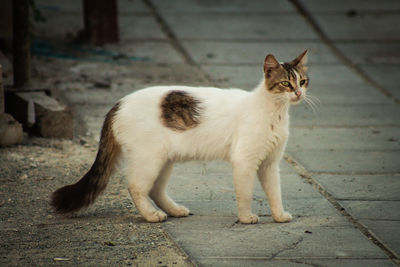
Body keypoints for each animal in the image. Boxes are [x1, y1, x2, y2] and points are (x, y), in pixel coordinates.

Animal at [50, 49, 310, 224]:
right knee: (136, 187)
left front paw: (279, 216)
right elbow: (245, 194)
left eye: (303, 81)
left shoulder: (270, 164)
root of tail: (119, 103)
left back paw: (174, 211)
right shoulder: (244, 161)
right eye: (285, 83)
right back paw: (152, 215)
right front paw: (246, 218)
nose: (298, 93)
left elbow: (275, 193)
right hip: (150, 159)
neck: (275, 112)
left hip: (164, 161)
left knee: (155, 190)